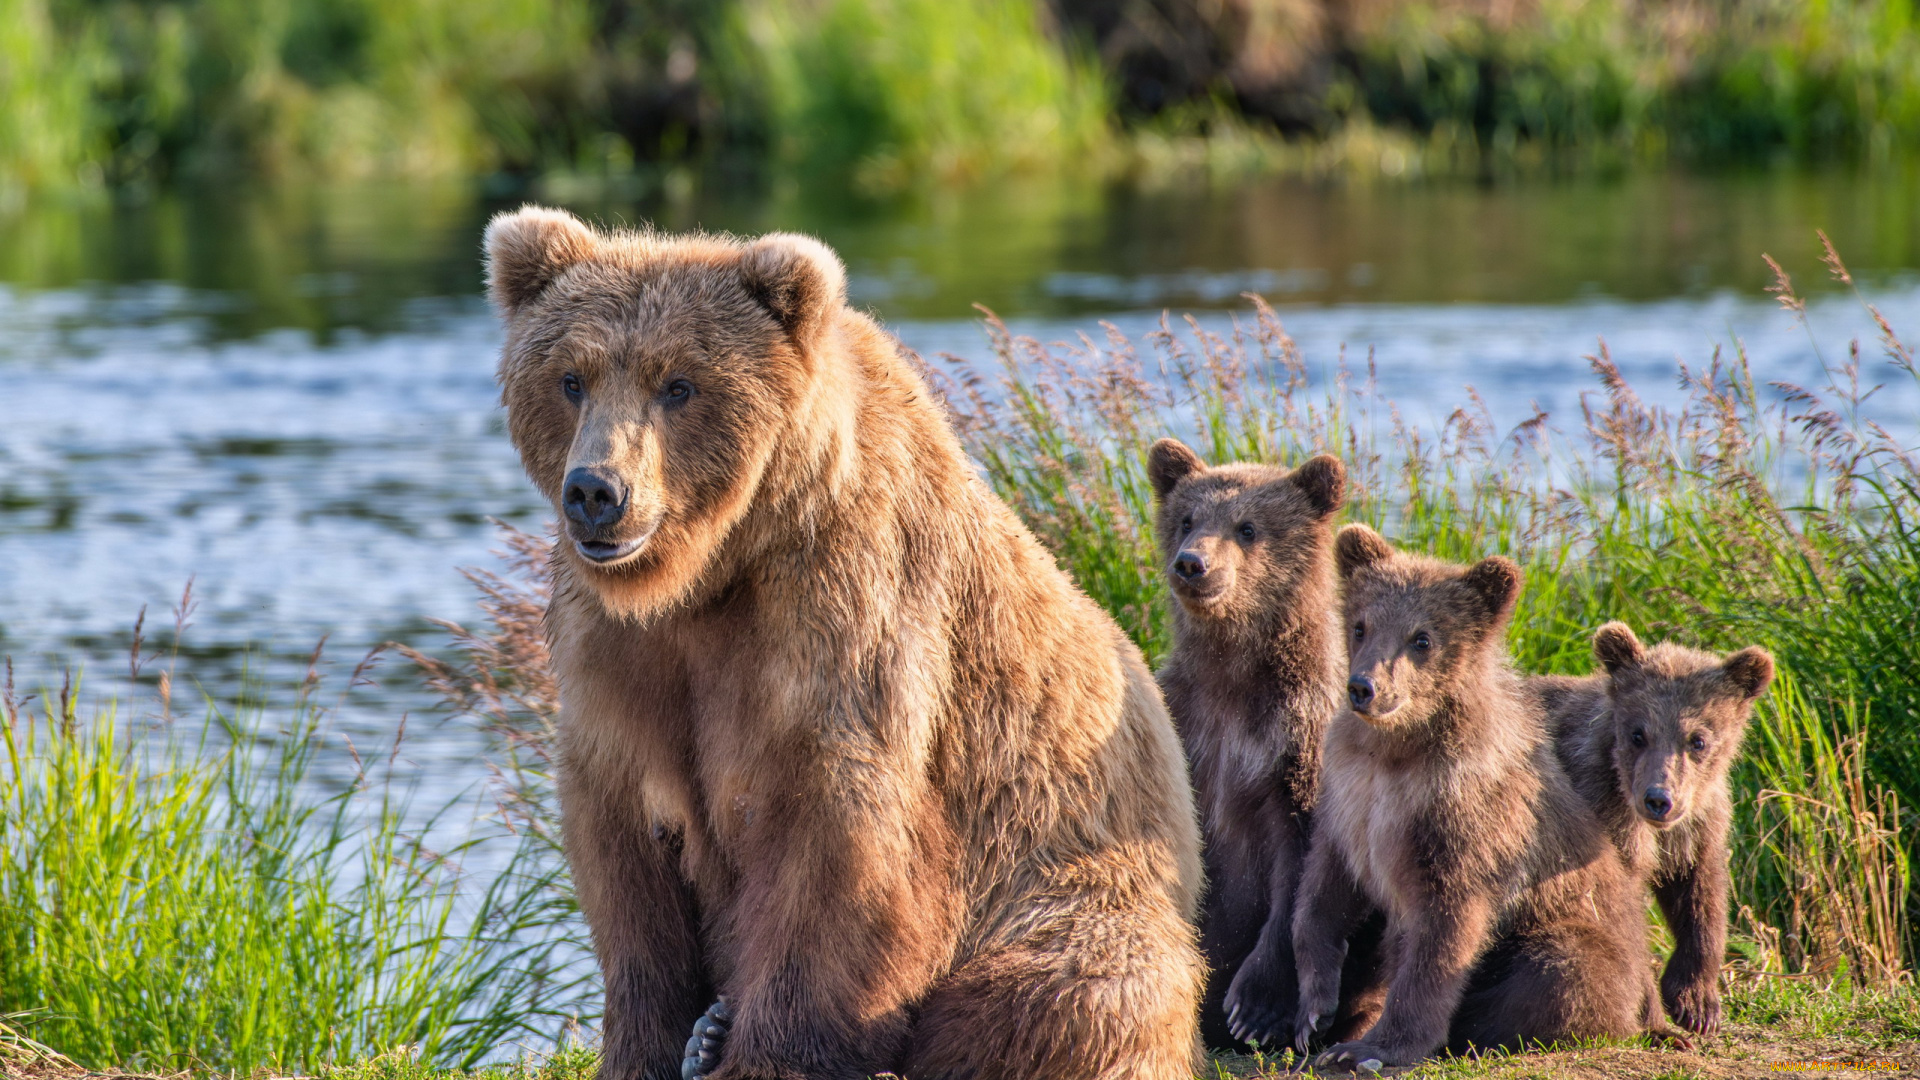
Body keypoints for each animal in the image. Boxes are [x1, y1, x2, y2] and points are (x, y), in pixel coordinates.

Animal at [480, 208, 1198, 1076]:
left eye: (679, 384)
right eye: (571, 378)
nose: (595, 491)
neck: (714, 570)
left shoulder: (845, 618)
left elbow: (841, 847)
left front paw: (765, 1053)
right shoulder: (620, 655)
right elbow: (625, 858)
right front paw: (649, 1046)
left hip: (1079, 873)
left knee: (1069, 988)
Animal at [1136, 434, 1351, 1045]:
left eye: (1249, 527)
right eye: (1186, 518)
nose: (1192, 563)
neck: (1235, 680)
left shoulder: (1297, 740)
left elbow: (1297, 862)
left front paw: (1255, 1006)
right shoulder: (1190, 721)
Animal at [1290, 522, 1666, 1068]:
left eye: (1422, 638)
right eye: (1360, 625)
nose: (1364, 686)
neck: (1397, 752)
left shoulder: (1467, 822)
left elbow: (1442, 936)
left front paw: (1370, 1049)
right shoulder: (1348, 795)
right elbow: (1324, 886)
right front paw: (1315, 1008)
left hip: (1579, 937)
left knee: (1562, 970)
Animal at [1536, 622, 1774, 1037]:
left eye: (1698, 739)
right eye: (1638, 733)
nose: (1658, 799)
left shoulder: (1696, 825)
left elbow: (1699, 894)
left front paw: (1696, 1002)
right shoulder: (1599, 815)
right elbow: (1615, 916)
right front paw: (1656, 1018)